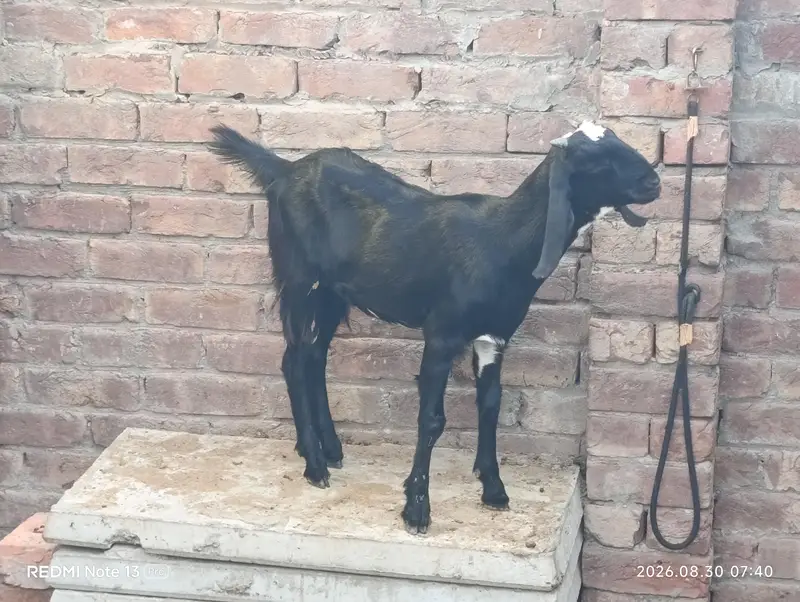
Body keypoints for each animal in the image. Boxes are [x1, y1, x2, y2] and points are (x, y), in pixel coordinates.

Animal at [208, 121, 661, 534]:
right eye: (594, 159)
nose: (653, 181)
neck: (502, 241)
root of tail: (283, 169)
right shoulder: (441, 335)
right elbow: (431, 419)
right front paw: (416, 509)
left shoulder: (494, 337)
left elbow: (490, 405)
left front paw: (494, 490)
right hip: (299, 278)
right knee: (293, 359)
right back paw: (316, 467)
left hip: (333, 292)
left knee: (313, 357)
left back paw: (327, 450)